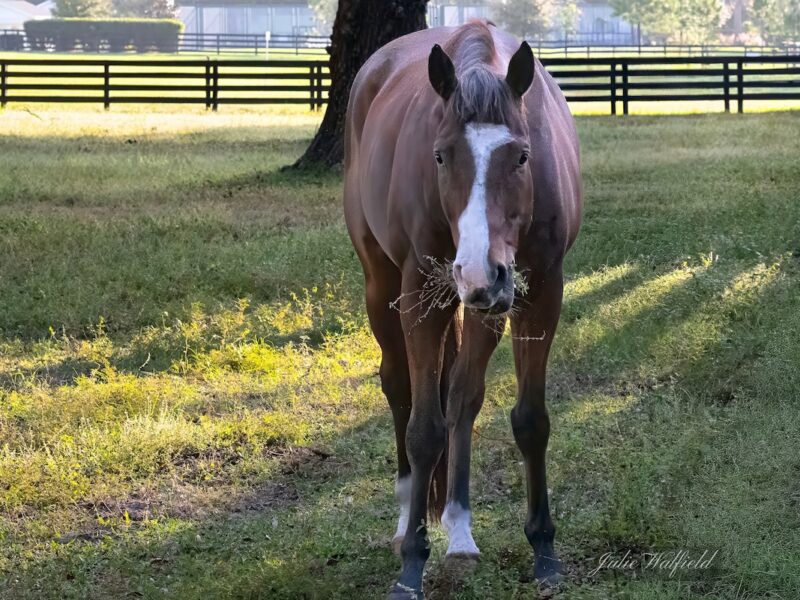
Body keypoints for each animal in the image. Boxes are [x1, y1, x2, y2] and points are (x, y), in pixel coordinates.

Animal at [343, 20, 582, 598]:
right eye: (440, 156)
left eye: (521, 156)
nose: (478, 271)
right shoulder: (419, 295)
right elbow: (424, 428)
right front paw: (412, 562)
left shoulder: (540, 293)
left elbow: (528, 420)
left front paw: (544, 550)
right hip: (384, 286)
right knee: (399, 389)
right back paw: (407, 519)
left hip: (483, 307)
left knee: (462, 396)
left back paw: (459, 529)